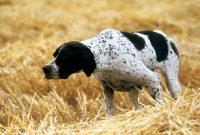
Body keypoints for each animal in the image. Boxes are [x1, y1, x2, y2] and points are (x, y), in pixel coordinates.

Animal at [42, 28, 181, 117]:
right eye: (54, 55)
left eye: (65, 56)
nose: (45, 68)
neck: (105, 54)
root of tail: (164, 36)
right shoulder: (107, 89)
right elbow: (109, 112)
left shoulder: (152, 79)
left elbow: (158, 103)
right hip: (132, 90)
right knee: (136, 106)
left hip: (172, 83)